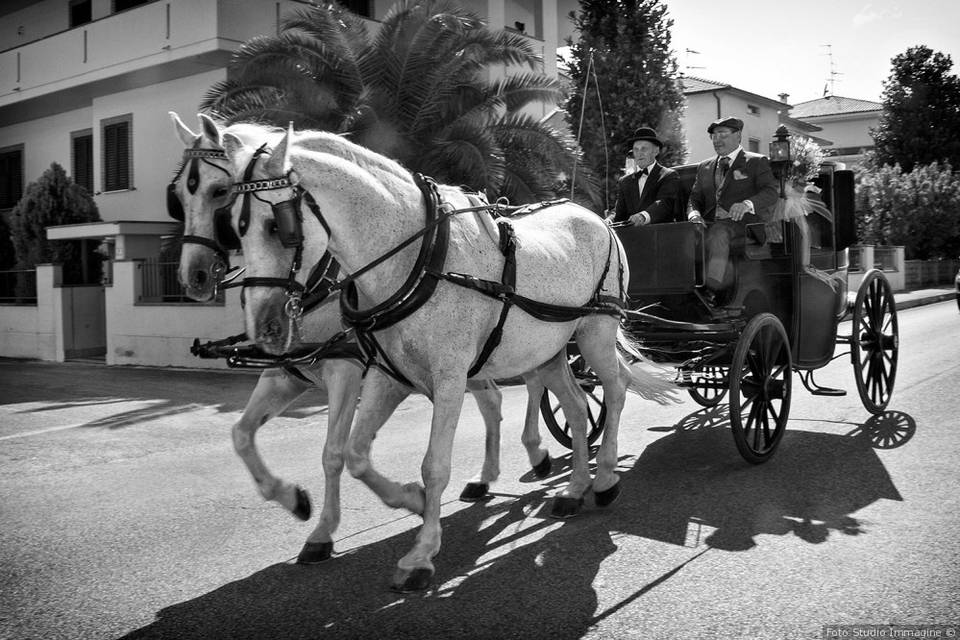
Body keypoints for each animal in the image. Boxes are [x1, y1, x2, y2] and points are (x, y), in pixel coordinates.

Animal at [169, 112, 552, 564]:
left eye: (219, 192)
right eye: (179, 195)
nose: (192, 276)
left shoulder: (346, 368)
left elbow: (333, 453)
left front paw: (327, 529)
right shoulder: (289, 371)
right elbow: (242, 435)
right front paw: (293, 499)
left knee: (536, 381)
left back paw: (538, 452)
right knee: (492, 400)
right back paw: (486, 476)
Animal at [219, 122, 676, 592]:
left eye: (276, 226)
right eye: (234, 225)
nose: (265, 326)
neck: (416, 259)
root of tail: (596, 218)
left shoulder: (445, 377)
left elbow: (434, 465)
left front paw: (420, 553)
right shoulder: (386, 376)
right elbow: (354, 453)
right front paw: (411, 501)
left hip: (595, 332)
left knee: (615, 391)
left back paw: (602, 480)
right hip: (549, 349)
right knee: (577, 406)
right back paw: (572, 489)